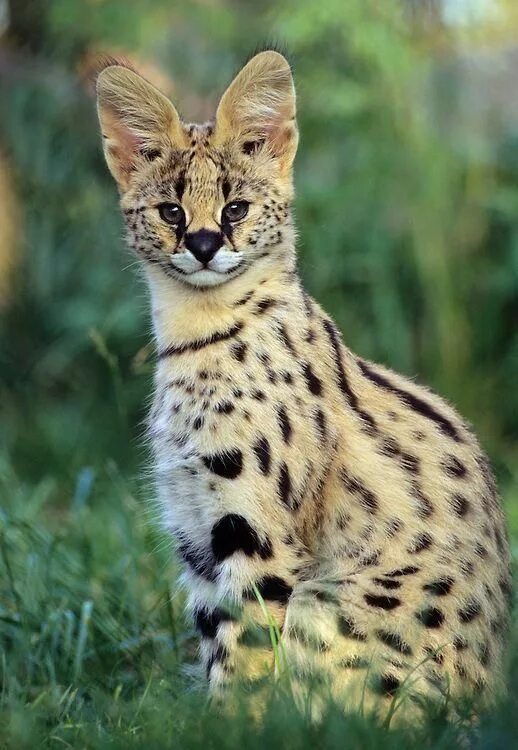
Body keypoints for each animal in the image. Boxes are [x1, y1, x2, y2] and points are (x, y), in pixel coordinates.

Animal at [95, 50, 512, 720]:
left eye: (235, 208)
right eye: (171, 212)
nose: (204, 244)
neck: (197, 339)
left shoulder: (252, 527)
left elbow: (244, 658)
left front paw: (236, 725)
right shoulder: (197, 530)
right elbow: (216, 640)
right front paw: (207, 724)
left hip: (327, 599)